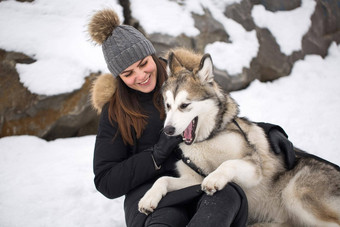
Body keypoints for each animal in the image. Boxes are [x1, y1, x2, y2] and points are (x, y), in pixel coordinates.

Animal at [139, 48, 340, 225]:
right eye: (167, 105)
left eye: (184, 105)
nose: (168, 130)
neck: (207, 140)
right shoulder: (193, 179)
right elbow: (162, 179)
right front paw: (149, 197)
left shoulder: (253, 167)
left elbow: (228, 164)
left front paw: (214, 178)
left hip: (294, 192)